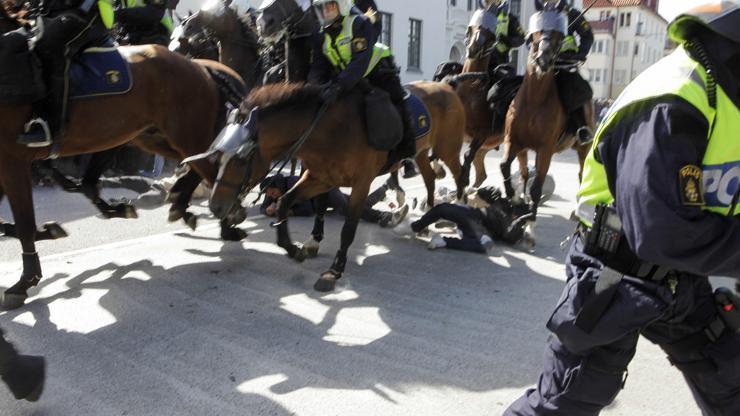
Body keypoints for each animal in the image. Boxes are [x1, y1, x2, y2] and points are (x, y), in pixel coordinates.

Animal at [0, 46, 246, 312]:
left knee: (213, 166)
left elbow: (24, 224)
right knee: (202, 163)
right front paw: (49, 232)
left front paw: (24, 282)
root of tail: (200, 67)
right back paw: (186, 205)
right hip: (155, 137)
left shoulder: (13, 161)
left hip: (184, 135)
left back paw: (224, 219)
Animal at [205, 83, 466, 292]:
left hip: (448, 149)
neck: (330, 130)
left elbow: (348, 228)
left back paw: (459, 211)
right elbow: (286, 201)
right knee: (430, 178)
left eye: (240, 160)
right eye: (218, 157)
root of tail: (446, 87)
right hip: (422, 152)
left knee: (460, 175)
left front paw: (335, 270)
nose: (215, 206)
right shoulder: (320, 178)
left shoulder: (361, 183)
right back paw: (428, 216)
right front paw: (294, 248)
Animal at [500, 0, 592, 244]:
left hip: (583, 147)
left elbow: (537, 188)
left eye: (560, 33)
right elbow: (505, 167)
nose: (544, 58)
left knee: (582, 174)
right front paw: (514, 200)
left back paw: (577, 212)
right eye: (537, 30)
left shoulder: (545, 150)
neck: (534, 99)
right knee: (523, 173)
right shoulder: (513, 141)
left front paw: (530, 226)